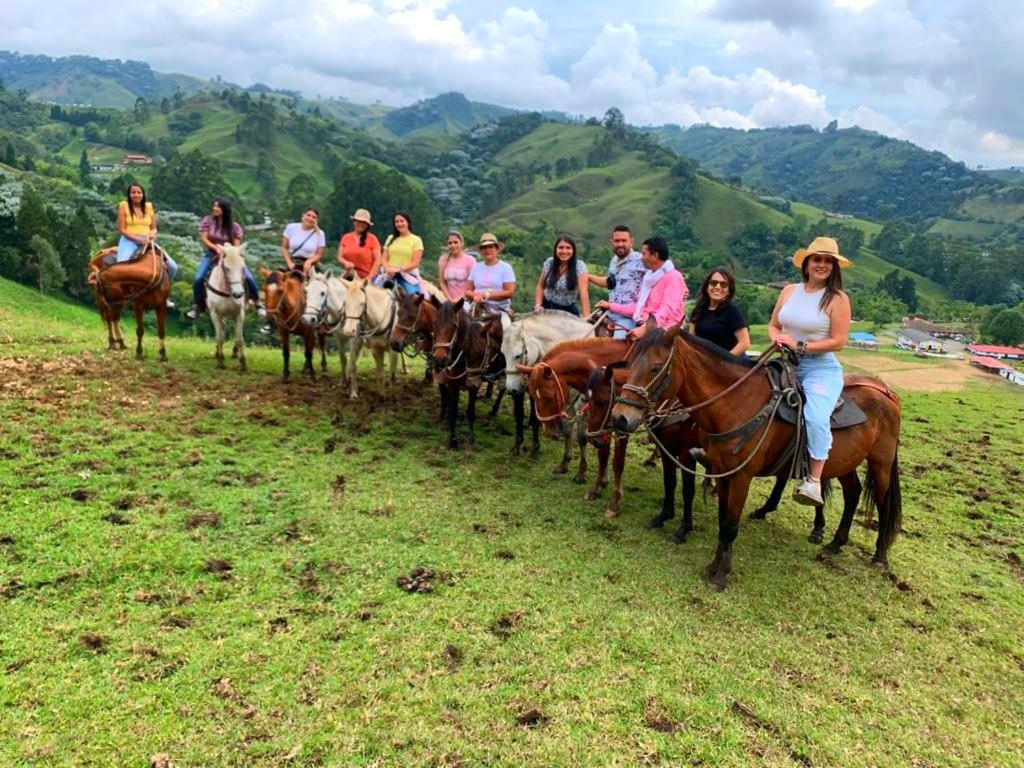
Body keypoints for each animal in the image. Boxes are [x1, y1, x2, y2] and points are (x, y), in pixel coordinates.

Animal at [205, 244, 249, 374]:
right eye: (227, 268)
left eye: (242, 267)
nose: (238, 294)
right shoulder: (214, 314)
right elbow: (220, 337)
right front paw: (220, 362)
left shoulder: (240, 313)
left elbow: (239, 338)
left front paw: (243, 363)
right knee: (221, 330)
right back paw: (218, 353)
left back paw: (234, 353)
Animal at [610, 323, 901, 589]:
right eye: (630, 362)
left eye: (656, 367)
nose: (621, 418)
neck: (736, 403)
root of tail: (887, 394)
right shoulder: (714, 467)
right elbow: (716, 516)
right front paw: (709, 562)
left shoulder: (734, 473)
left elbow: (724, 520)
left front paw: (718, 572)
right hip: (843, 462)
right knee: (852, 493)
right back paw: (833, 542)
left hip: (881, 463)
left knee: (883, 503)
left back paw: (879, 556)